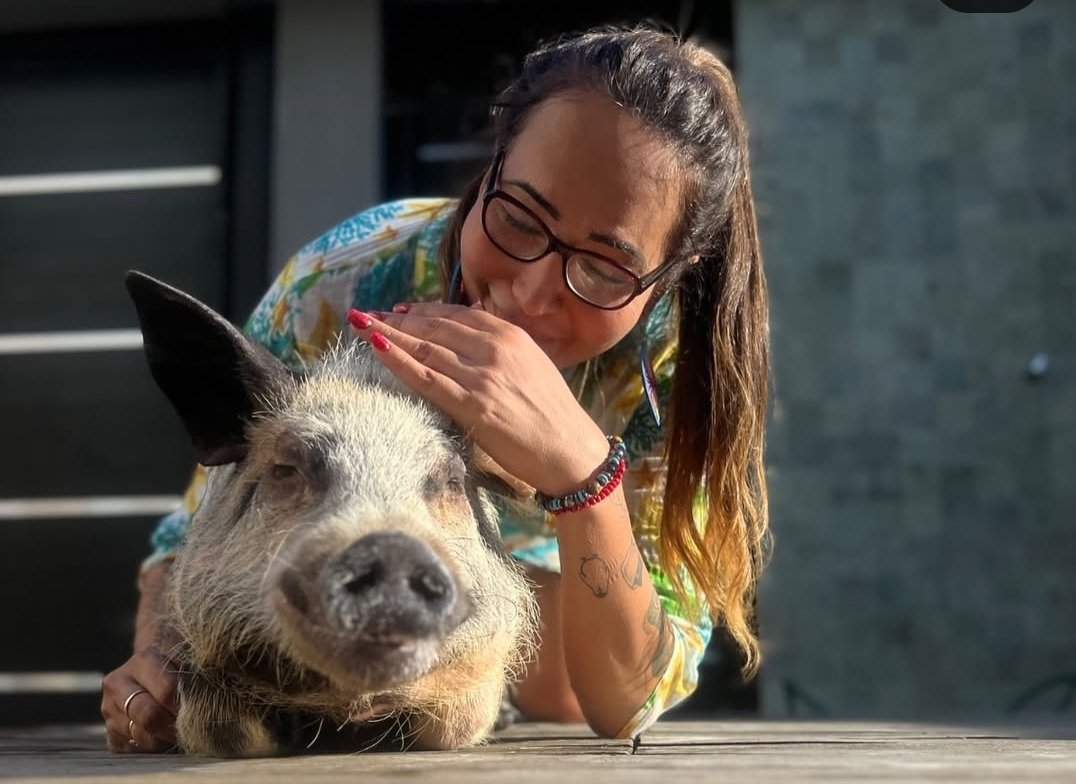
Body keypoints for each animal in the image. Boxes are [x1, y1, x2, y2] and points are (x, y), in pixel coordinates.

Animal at [124, 271, 538, 757]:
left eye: (452, 481)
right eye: (287, 467)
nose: (390, 547)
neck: (347, 710)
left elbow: (454, 721)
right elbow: (221, 729)